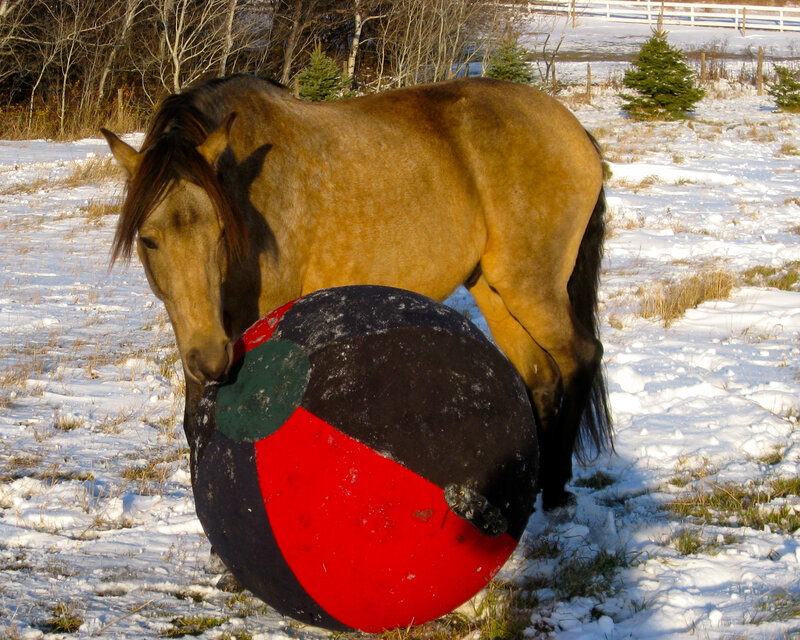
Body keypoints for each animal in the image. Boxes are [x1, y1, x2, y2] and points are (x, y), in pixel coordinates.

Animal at [102, 74, 611, 510]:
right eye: (148, 239)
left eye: (222, 232)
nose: (211, 360)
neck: (250, 189)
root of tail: (575, 129)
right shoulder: (203, 331)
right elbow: (196, 423)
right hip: (494, 289)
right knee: (540, 376)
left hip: (531, 285)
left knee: (580, 356)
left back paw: (556, 490)